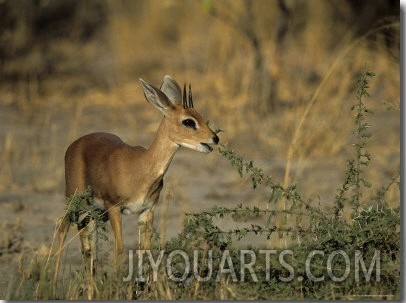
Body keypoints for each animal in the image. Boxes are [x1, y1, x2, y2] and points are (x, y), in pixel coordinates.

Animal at [54, 75, 220, 290]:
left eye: (199, 115)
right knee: (63, 228)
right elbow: (120, 248)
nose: (214, 138)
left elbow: (145, 249)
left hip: (93, 213)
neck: (141, 167)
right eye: (188, 121)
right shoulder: (114, 208)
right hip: (75, 201)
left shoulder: (147, 210)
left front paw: (144, 287)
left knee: (88, 242)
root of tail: (74, 144)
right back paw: (52, 283)